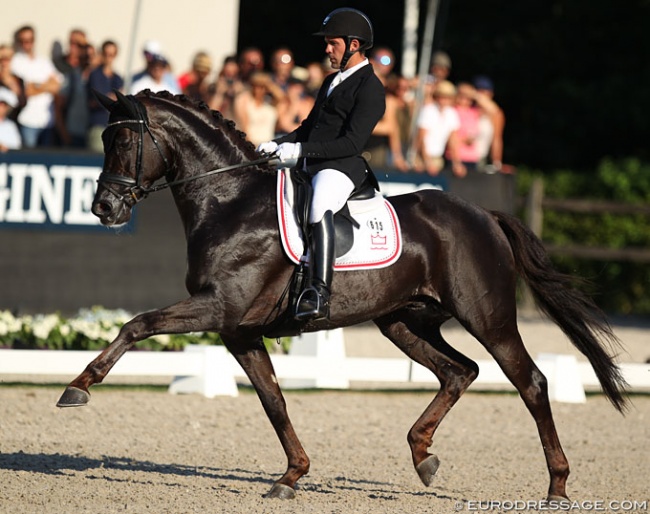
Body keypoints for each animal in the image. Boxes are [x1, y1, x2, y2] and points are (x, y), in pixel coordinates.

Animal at [55, 90, 624, 498]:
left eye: (122, 143)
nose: (103, 208)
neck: (229, 201)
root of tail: (484, 214)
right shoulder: (239, 331)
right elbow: (274, 401)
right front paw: (291, 476)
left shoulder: (220, 308)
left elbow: (138, 323)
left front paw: (78, 387)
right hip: (403, 320)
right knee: (458, 371)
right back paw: (423, 456)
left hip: (488, 317)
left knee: (530, 383)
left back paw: (557, 486)